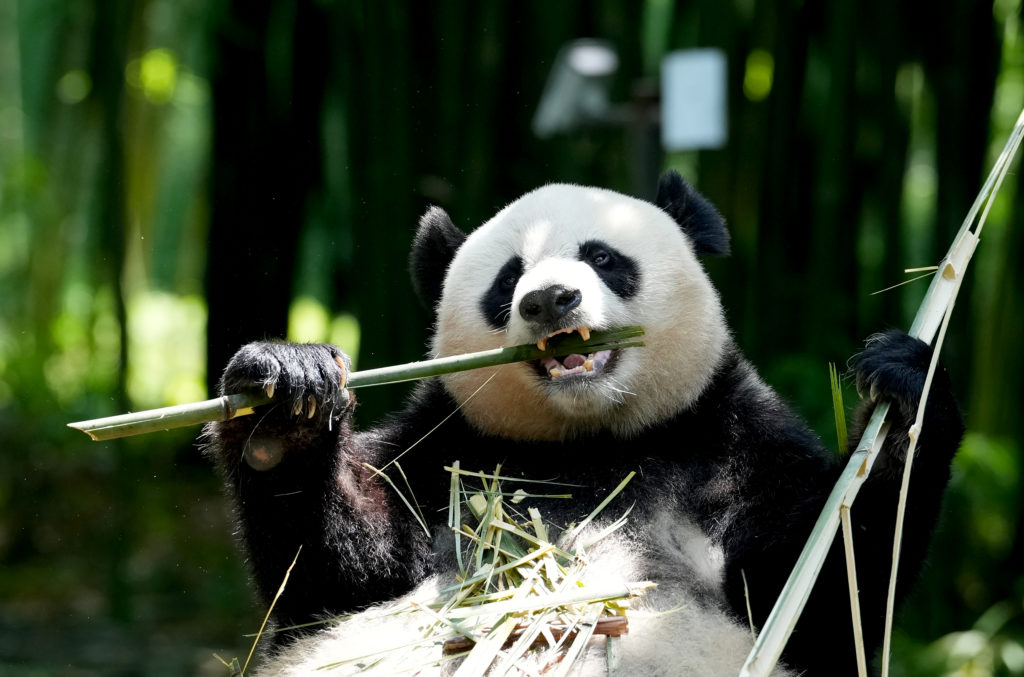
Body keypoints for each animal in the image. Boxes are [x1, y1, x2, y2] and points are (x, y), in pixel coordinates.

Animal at [203, 173, 962, 675]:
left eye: (602, 256)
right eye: (508, 278)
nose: (549, 299)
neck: (590, 440)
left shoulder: (734, 440)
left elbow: (822, 593)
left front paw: (905, 388)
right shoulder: (441, 445)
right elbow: (337, 581)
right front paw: (285, 405)